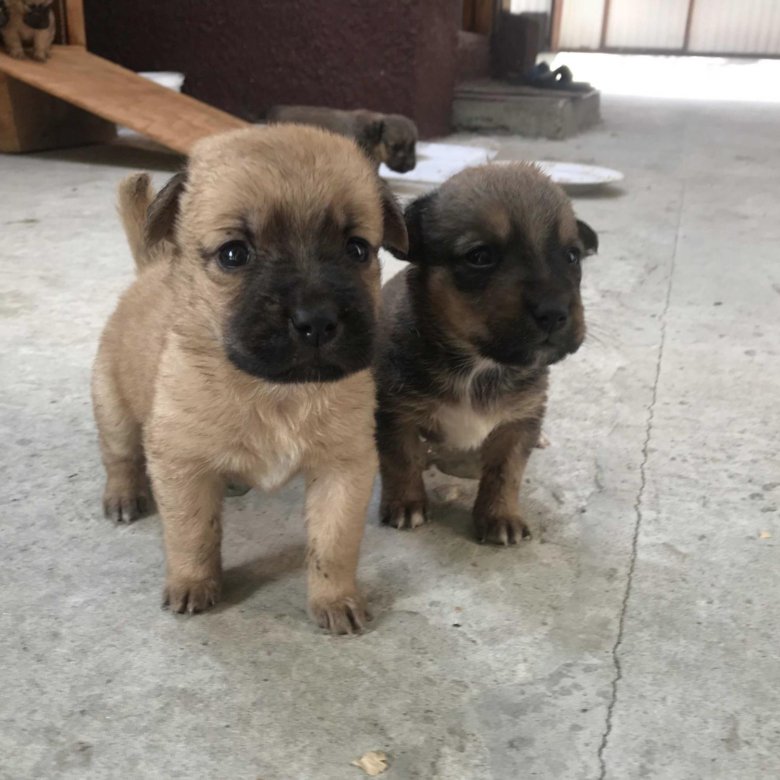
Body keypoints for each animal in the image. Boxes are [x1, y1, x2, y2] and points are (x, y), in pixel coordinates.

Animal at [91, 125, 408, 632]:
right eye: (234, 254)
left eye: (357, 249)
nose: (317, 321)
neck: (276, 392)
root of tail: (151, 268)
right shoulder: (181, 465)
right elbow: (193, 534)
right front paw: (192, 583)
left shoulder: (343, 468)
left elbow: (333, 545)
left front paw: (335, 599)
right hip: (113, 408)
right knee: (119, 457)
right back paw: (123, 496)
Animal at [372, 162, 596, 544]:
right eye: (480, 257)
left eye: (572, 256)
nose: (554, 313)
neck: (478, 365)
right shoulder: (395, 414)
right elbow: (401, 461)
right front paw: (405, 503)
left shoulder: (517, 422)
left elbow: (505, 473)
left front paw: (500, 516)